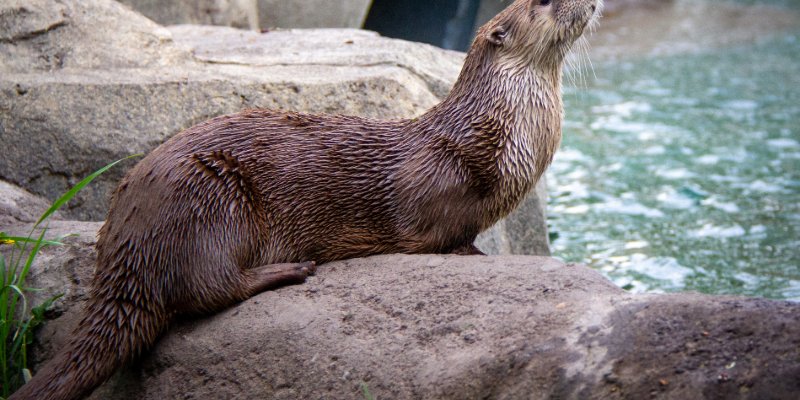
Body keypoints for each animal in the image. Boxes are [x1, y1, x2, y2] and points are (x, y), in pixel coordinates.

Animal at [11, 0, 601, 399]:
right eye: (542, 1)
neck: (499, 133)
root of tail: (122, 244)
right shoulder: (438, 185)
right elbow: (441, 236)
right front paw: (472, 255)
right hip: (208, 200)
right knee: (205, 286)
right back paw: (290, 270)